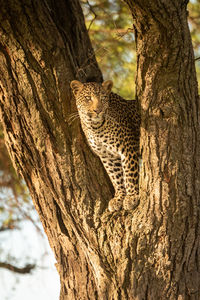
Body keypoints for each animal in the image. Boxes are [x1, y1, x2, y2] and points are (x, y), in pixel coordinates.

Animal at [71, 79, 140, 211]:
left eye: (103, 98)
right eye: (88, 98)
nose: (98, 110)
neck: (95, 127)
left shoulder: (128, 147)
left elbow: (129, 173)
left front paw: (132, 197)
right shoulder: (107, 155)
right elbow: (116, 177)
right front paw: (119, 198)